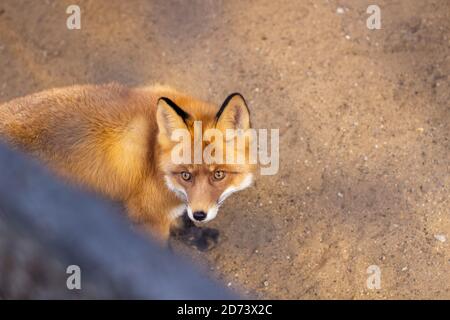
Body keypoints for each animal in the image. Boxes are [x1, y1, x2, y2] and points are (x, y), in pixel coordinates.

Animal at [0, 84, 253, 244]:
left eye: (218, 174)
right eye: (186, 175)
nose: (200, 215)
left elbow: (183, 222)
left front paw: (198, 237)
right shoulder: (148, 217)